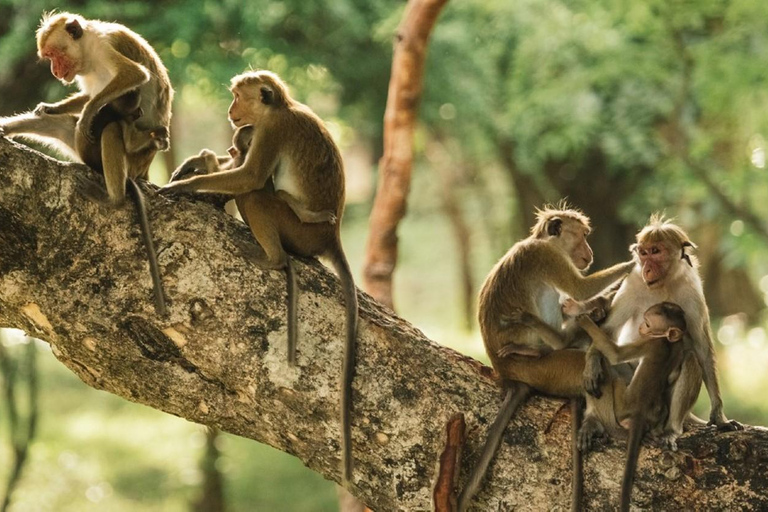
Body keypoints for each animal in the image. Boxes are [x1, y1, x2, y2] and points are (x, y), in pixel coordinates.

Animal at [0, 12, 174, 316]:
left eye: (56, 55)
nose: (56, 72)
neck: (88, 50)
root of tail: (143, 170)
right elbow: (77, 100)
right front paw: (51, 107)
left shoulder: (105, 47)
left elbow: (134, 75)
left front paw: (89, 112)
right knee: (57, 126)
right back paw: (8, 129)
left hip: (130, 158)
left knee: (112, 130)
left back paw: (113, 198)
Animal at [163, 71, 360, 484]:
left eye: (239, 97)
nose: (230, 111)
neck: (281, 108)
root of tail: (330, 237)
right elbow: (238, 167)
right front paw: (200, 162)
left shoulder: (272, 131)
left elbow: (250, 176)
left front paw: (183, 186)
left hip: (299, 230)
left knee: (255, 193)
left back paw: (273, 258)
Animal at [576, 302, 688, 512]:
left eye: (648, 323)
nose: (641, 328)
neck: (666, 342)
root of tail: (639, 412)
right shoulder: (678, 348)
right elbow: (673, 375)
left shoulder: (649, 342)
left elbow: (615, 354)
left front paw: (584, 321)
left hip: (621, 404)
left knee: (609, 370)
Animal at [584, 214, 744, 446]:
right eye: (643, 253)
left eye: (656, 251)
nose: (647, 268)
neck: (665, 282)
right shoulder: (633, 283)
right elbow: (609, 331)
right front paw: (592, 361)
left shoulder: (692, 289)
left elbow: (701, 347)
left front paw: (719, 417)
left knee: (690, 359)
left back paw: (671, 430)